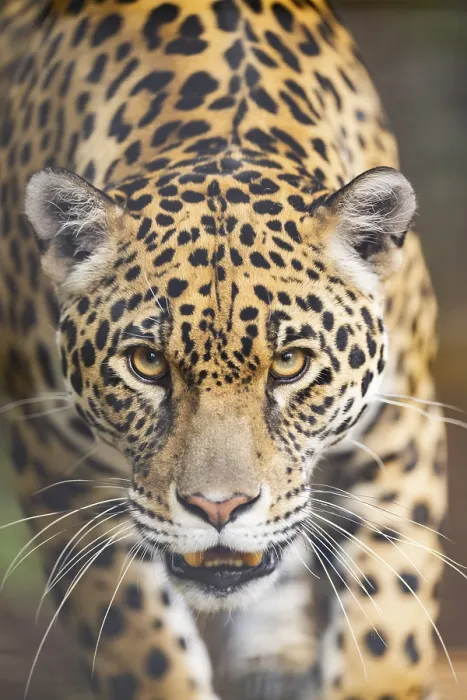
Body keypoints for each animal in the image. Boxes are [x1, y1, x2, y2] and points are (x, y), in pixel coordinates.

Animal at [0, 1, 447, 699]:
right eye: (147, 364)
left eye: (290, 364)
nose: (219, 508)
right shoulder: (54, 461)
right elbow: (140, 645)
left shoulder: (406, 435)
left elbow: (386, 631)